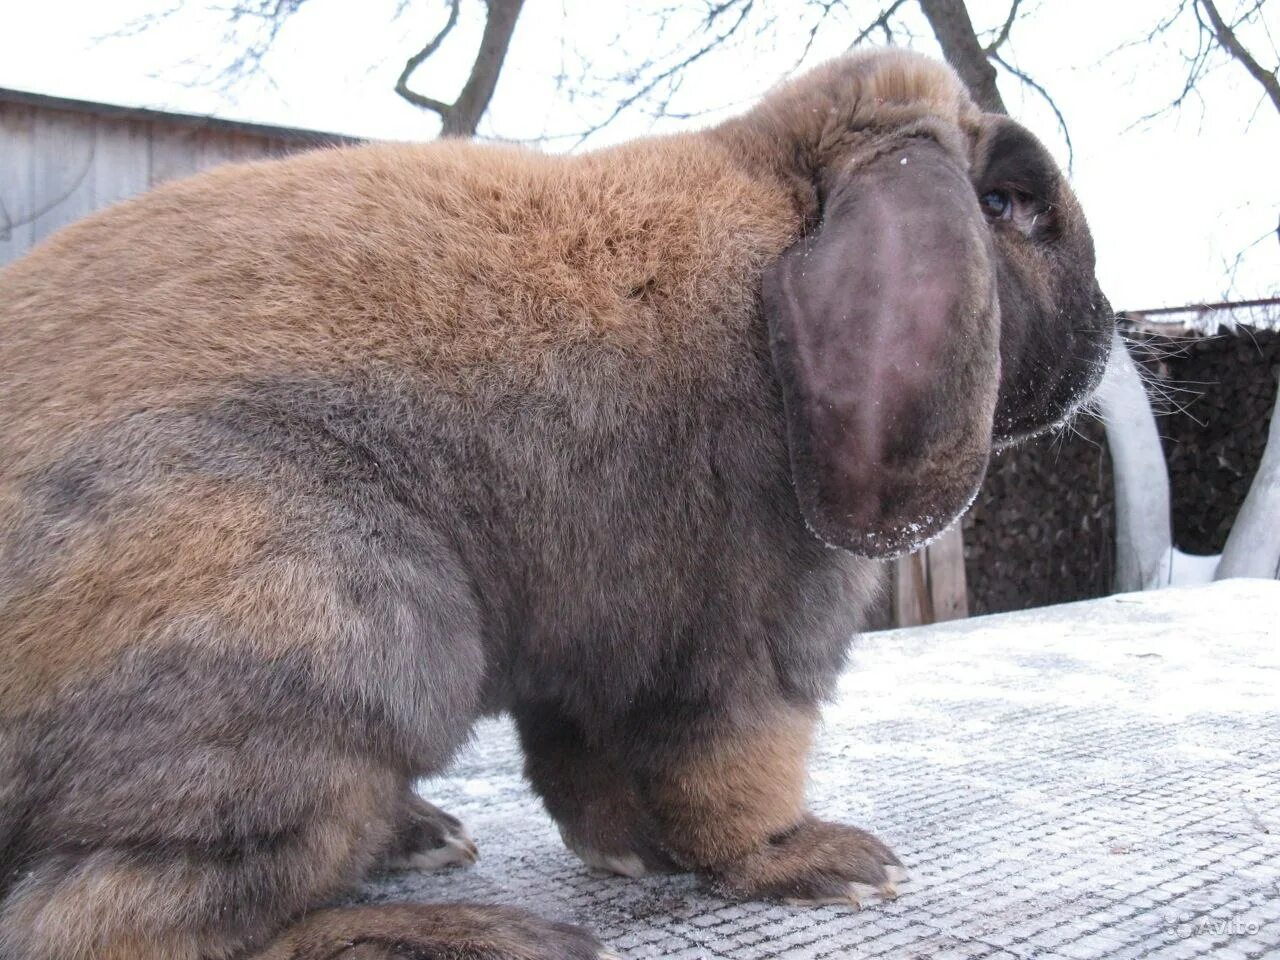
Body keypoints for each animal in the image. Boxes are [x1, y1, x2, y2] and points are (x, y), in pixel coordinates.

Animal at [0, 50, 1111, 960]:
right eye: (1003, 206)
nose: (1106, 333)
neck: (773, 216)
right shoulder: (755, 634)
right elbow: (737, 766)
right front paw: (815, 862)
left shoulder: (593, 641)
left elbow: (589, 766)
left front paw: (627, 854)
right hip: (337, 626)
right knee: (103, 927)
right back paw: (461, 936)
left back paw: (421, 844)